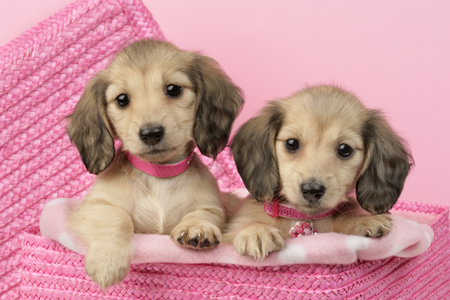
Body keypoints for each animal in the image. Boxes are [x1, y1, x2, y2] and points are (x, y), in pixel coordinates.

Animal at [66, 38, 243, 288]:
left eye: (173, 89)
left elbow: (204, 213)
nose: (151, 134)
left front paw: (197, 227)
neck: (159, 176)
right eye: (122, 99)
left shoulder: (214, 207)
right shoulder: (92, 207)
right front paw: (107, 261)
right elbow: (116, 217)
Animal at [223, 84, 414, 260]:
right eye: (292, 143)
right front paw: (256, 232)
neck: (304, 217)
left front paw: (363, 219)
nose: (312, 190)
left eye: (345, 149)